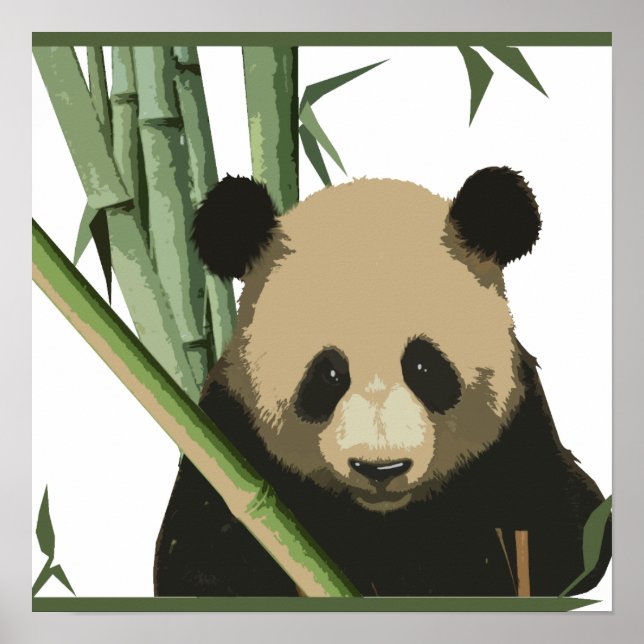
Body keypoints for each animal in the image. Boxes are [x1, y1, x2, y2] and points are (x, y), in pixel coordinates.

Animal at [153, 167, 611, 597]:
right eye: (329, 374)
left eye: (424, 367)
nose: (381, 467)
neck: (384, 514)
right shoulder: (229, 437)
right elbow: (198, 561)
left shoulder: (517, 432)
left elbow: (569, 537)